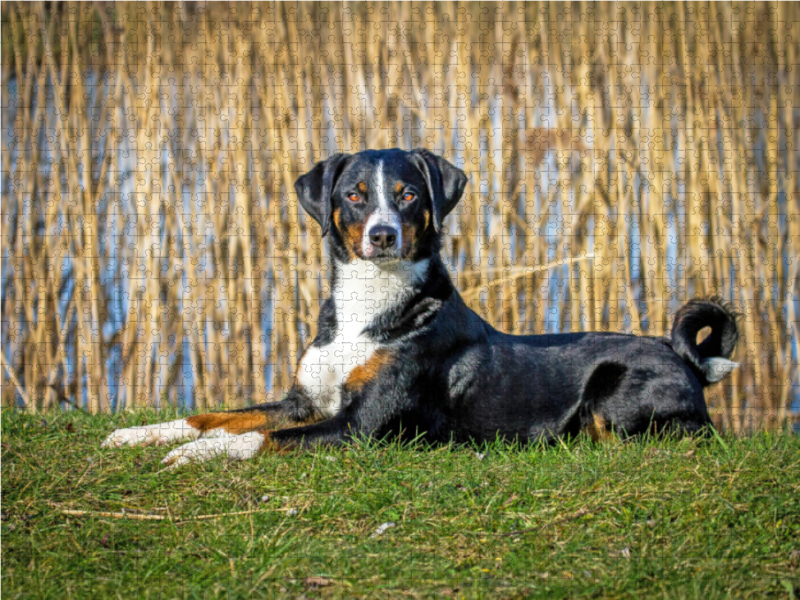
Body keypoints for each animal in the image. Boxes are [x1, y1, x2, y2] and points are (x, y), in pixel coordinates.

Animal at [103, 148, 740, 466]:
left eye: (408, 194)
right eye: (355, 195)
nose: (383, 234)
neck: (368, 304)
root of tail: (686, 358)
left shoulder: (359, 427)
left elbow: (259, 439)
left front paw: (198, 453)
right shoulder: (302, 401)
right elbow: (220, 414)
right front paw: (143, 433)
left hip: (616, 392)